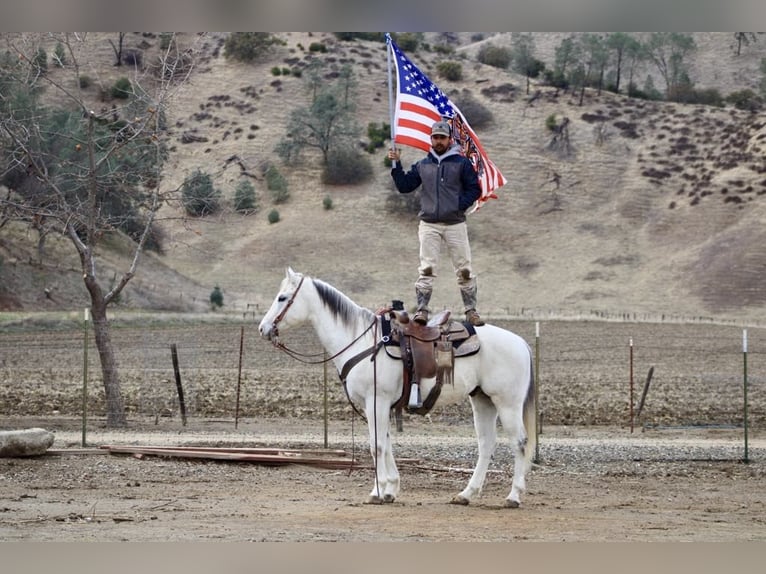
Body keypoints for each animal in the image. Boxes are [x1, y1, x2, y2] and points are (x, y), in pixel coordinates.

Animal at [260, 270, 536, 508]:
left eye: (282, 297)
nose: (263, 328)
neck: (362, 341)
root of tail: (521, 343)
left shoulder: (377, 401)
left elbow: (377, 445)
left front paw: (377, 491)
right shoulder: (378, 406)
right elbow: (386, 441)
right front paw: (391, 489)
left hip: (507, 403)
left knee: (519, 442)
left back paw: (513, 497)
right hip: (482, 400)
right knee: (487, 444)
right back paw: (466, 494)